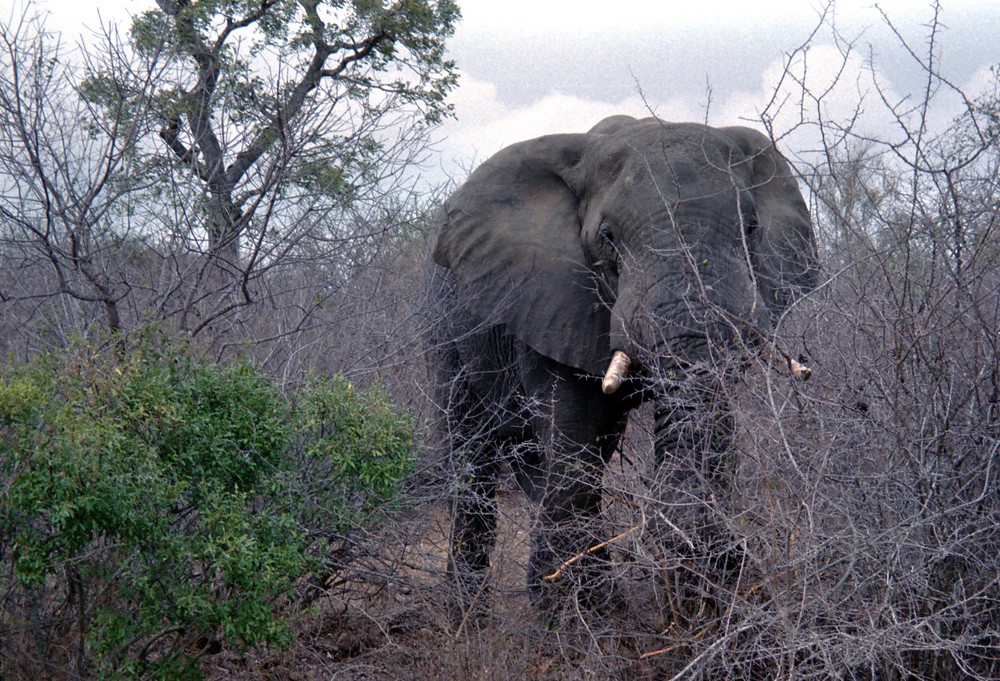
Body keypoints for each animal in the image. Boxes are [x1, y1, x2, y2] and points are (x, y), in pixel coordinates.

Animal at [424, 114, 820, 612]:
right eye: (607, 238)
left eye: (751, 228)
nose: (731, 554)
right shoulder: (551, 298)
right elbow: (574, 437)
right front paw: (572, 621)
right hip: (445, 335)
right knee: (472, 460)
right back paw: (468, 614)